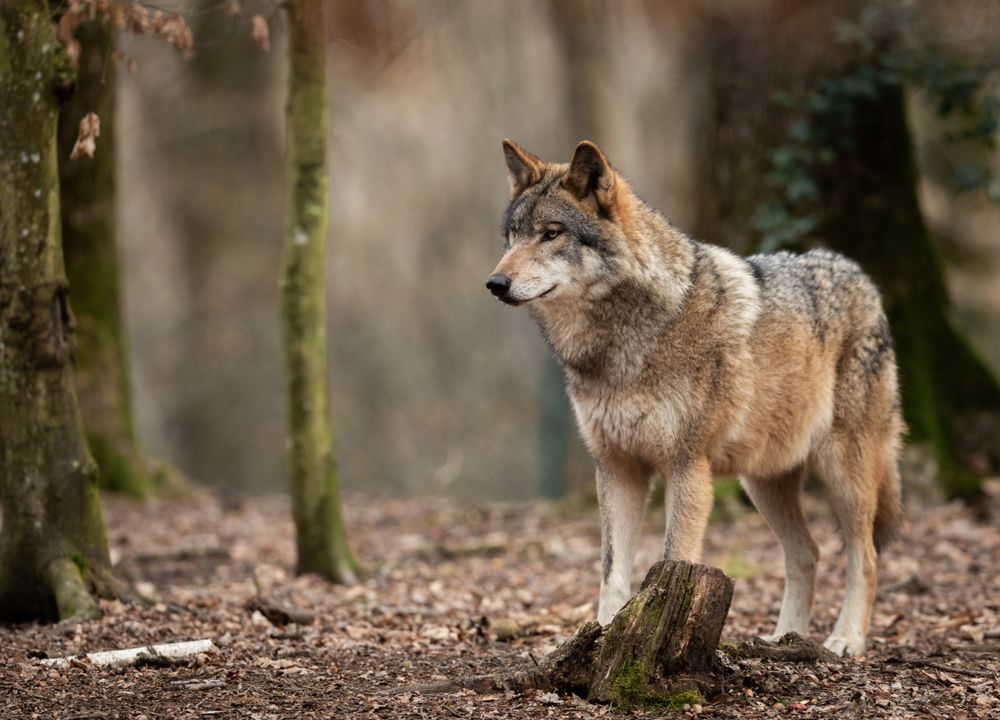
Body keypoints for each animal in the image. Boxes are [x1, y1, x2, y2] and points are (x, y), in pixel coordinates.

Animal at [486, 139, 904, 657]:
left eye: (551, 234)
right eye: (512, 236)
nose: (495, 284)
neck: (622, 344)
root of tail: (860, 275)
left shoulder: (687, 467)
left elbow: (672, 561)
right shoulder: (617, 468)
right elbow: (611, 573)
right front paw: (602, 638)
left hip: (844, 474)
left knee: (865, 556)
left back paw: (846, 639)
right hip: (763, 483)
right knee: (807, 552)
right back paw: (783, 639)